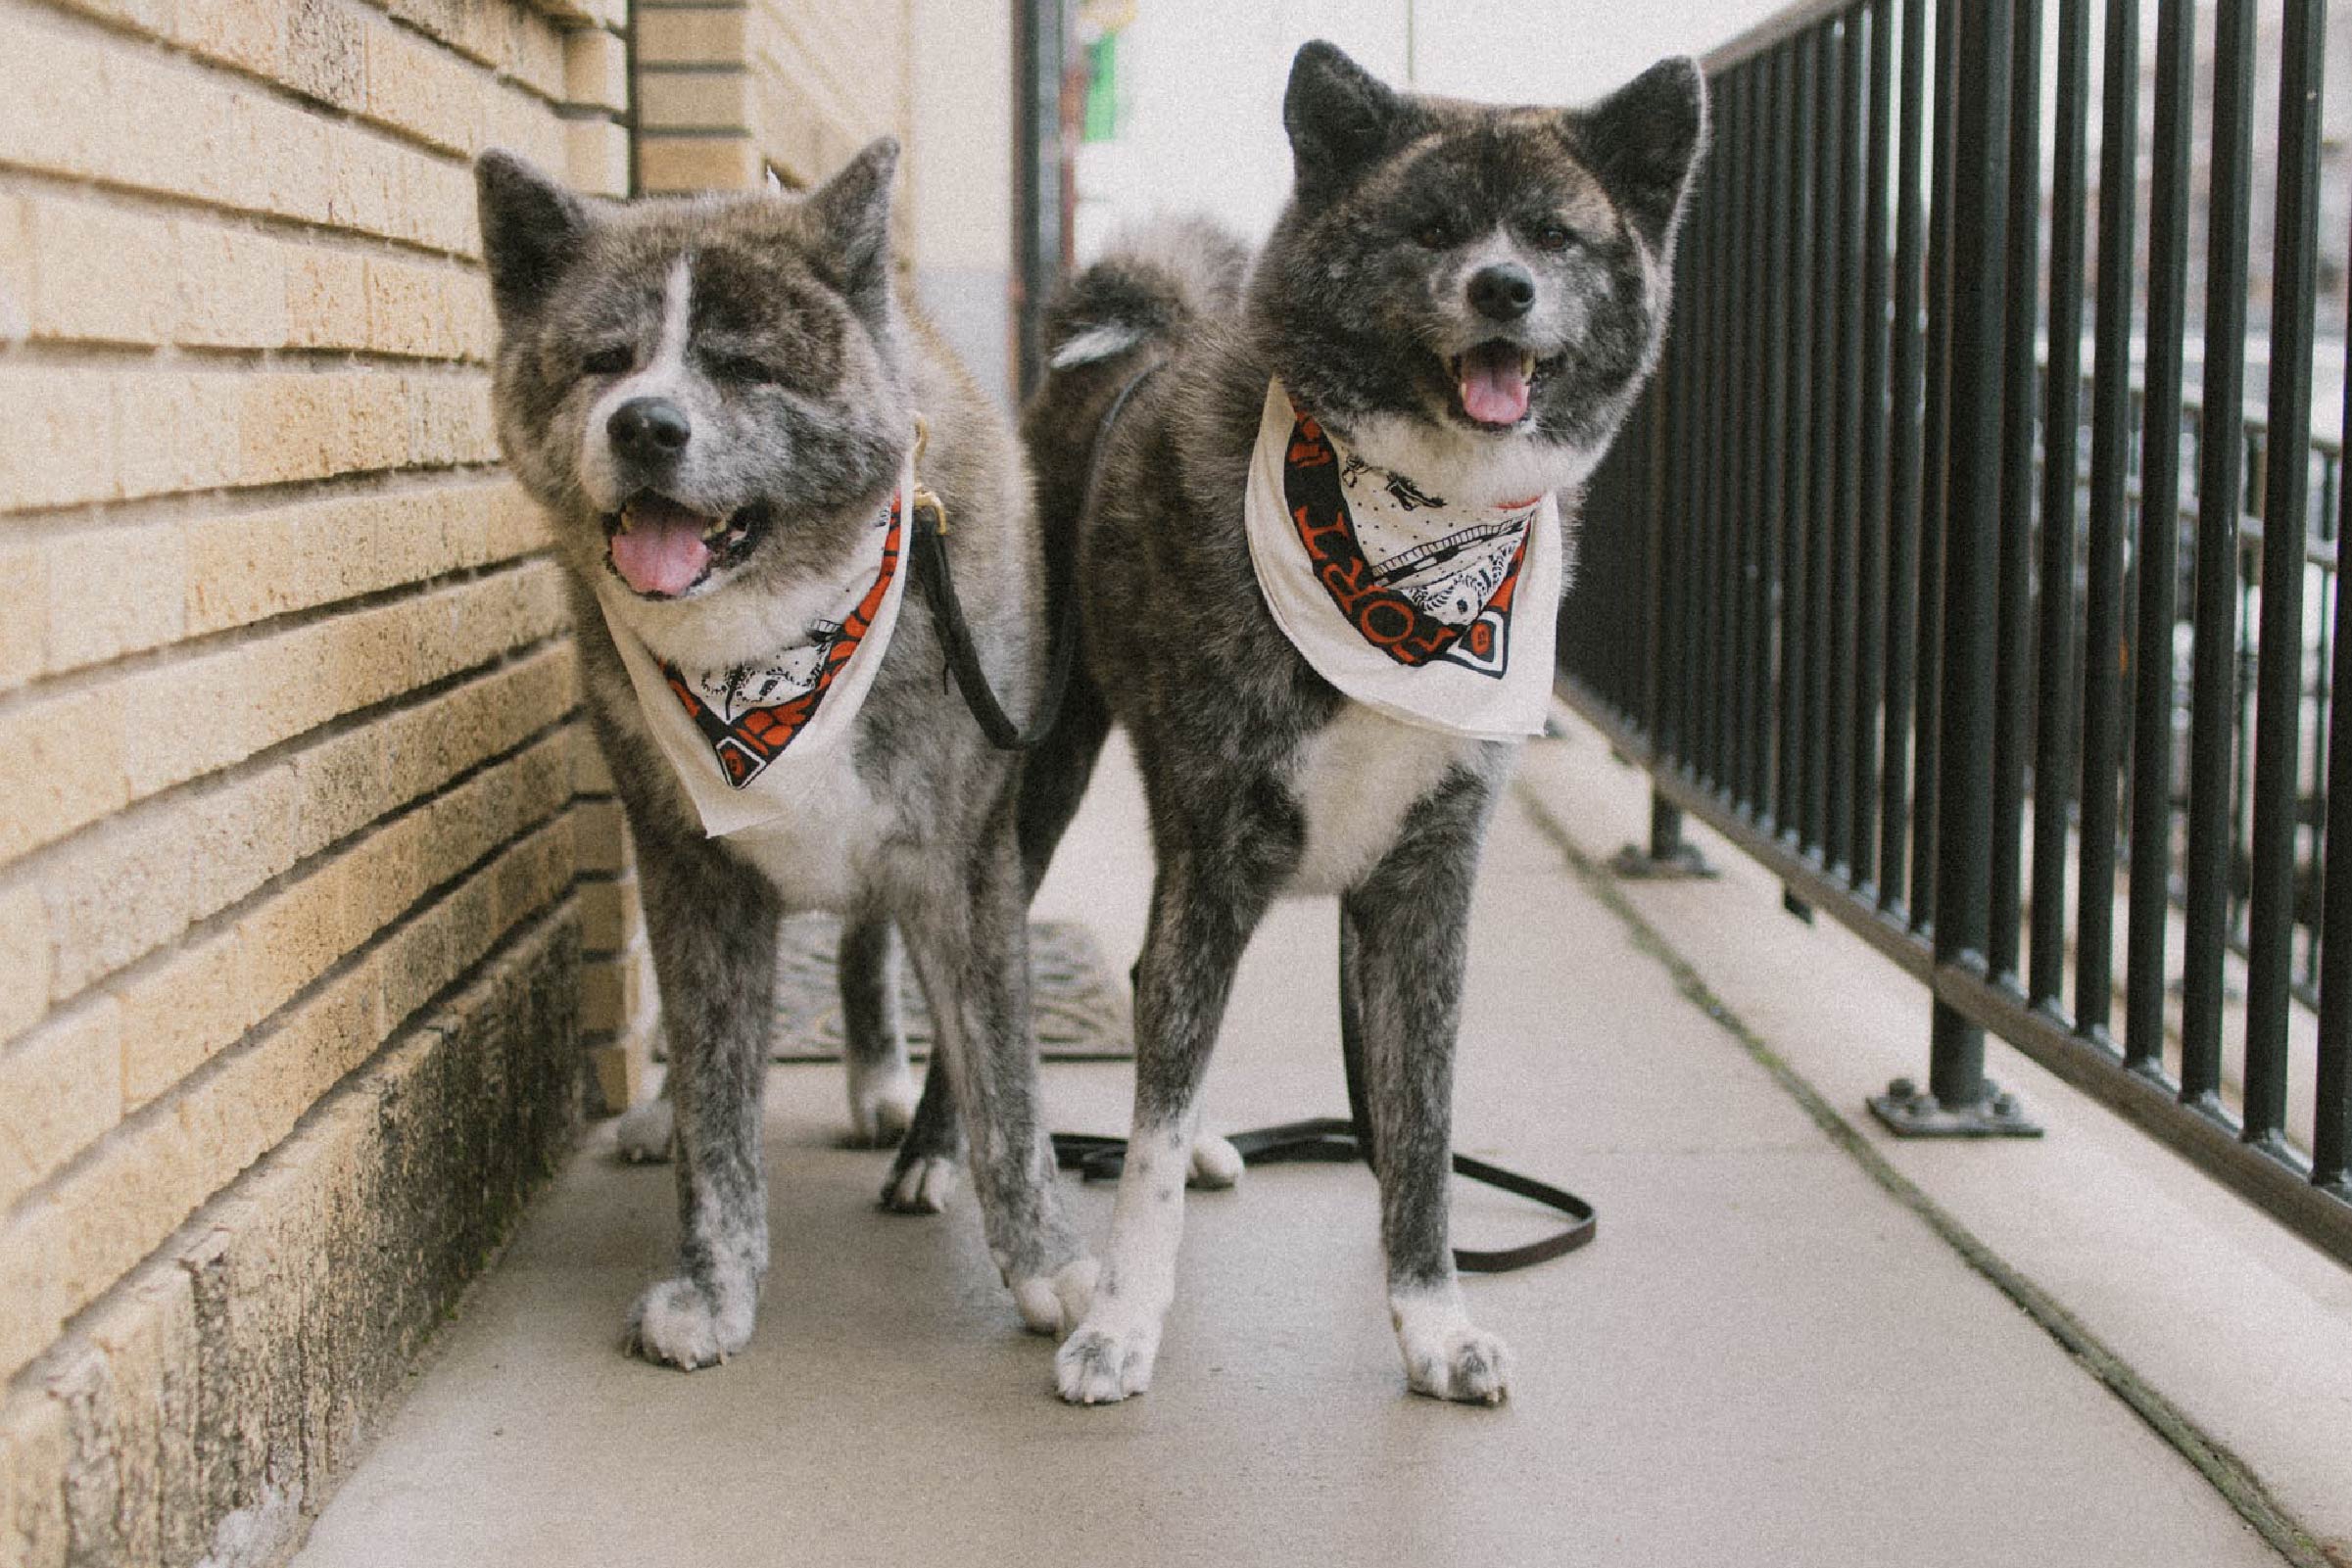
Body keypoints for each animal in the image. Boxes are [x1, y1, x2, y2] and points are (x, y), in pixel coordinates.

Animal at [482, 147, 1105, 1372]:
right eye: (605, 360)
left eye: (741, 366)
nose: (645, 425)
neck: (764, 650)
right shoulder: (692, 869)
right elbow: (716, 1095)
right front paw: (714, 1283)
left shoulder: (960, 862)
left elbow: (1008, 1087)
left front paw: (1047, 1263)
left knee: (865, 945)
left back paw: (883, 1086)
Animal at [1021, 42, 1703, 1401]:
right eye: (1431, 228)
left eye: (1552, 235)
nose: (1502, 287)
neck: (1404, 551)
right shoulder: (1216, 859)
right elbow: (1148, 1145)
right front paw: (1119, 1322)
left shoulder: (1423, 891)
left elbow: (1420, 1133)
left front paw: (1433, 1322)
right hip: (1043, 771)